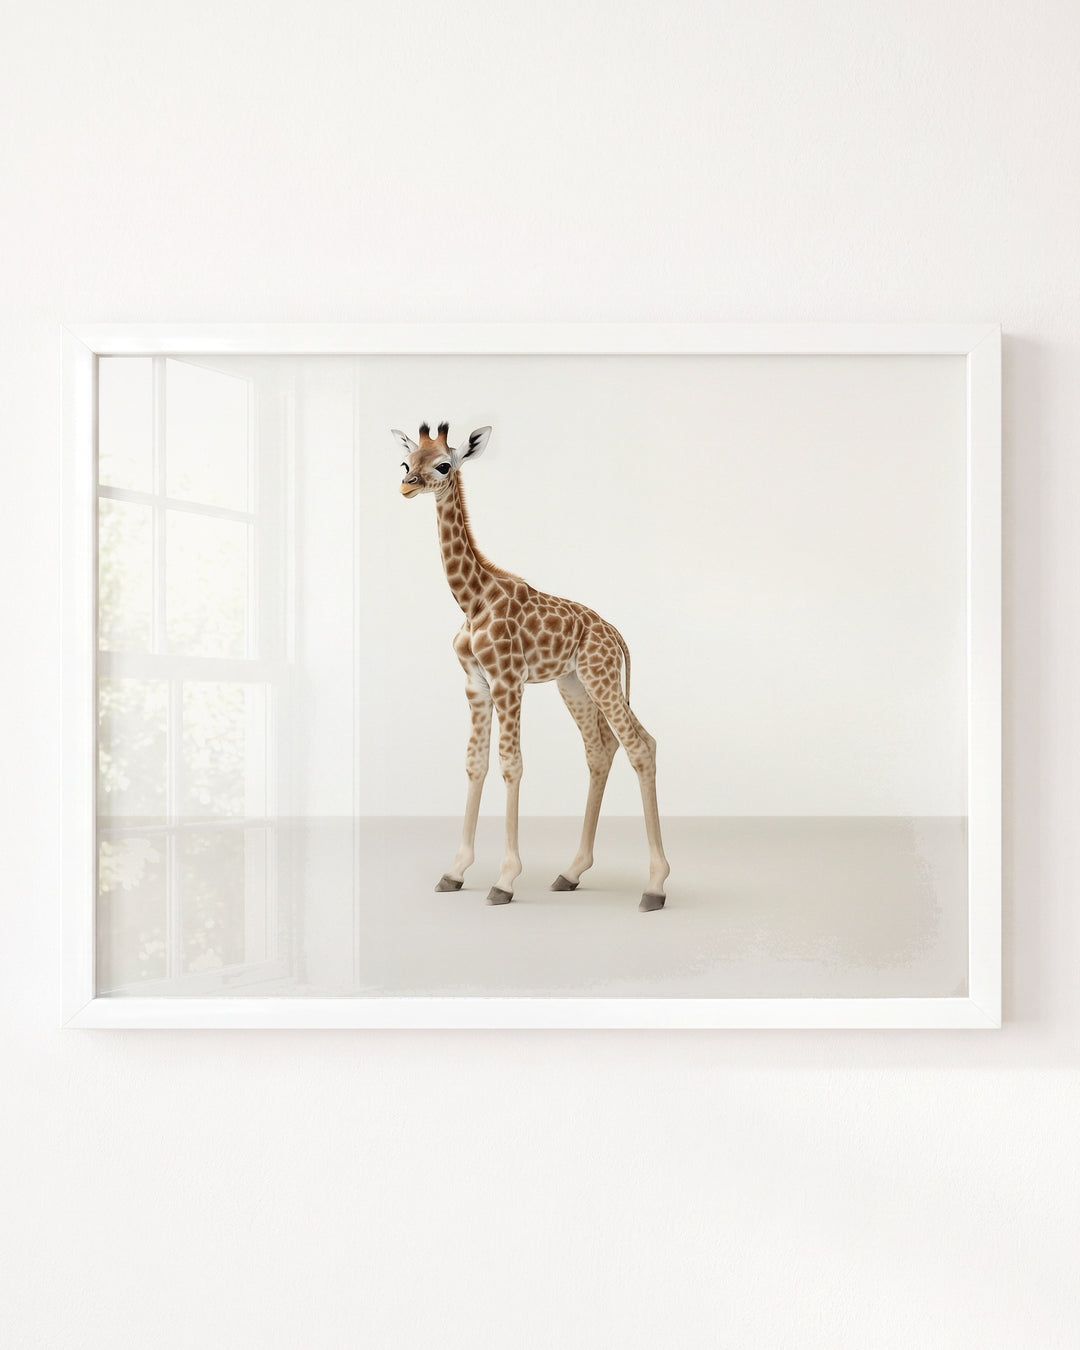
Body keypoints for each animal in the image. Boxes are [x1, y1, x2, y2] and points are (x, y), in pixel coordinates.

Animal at [394, 421, 669, 912]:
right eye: (406, 462)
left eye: (443, 464)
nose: (406, 486)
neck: (472, 600)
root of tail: (615, 634)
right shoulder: (476, 684)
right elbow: (475, 763)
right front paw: (454, 872)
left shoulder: (508, 681)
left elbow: (511, 764)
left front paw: (504, 880)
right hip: (575, 683)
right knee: (604, 749)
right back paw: (571, 872)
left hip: (600, 677)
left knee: (638, 746)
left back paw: (654, 887)